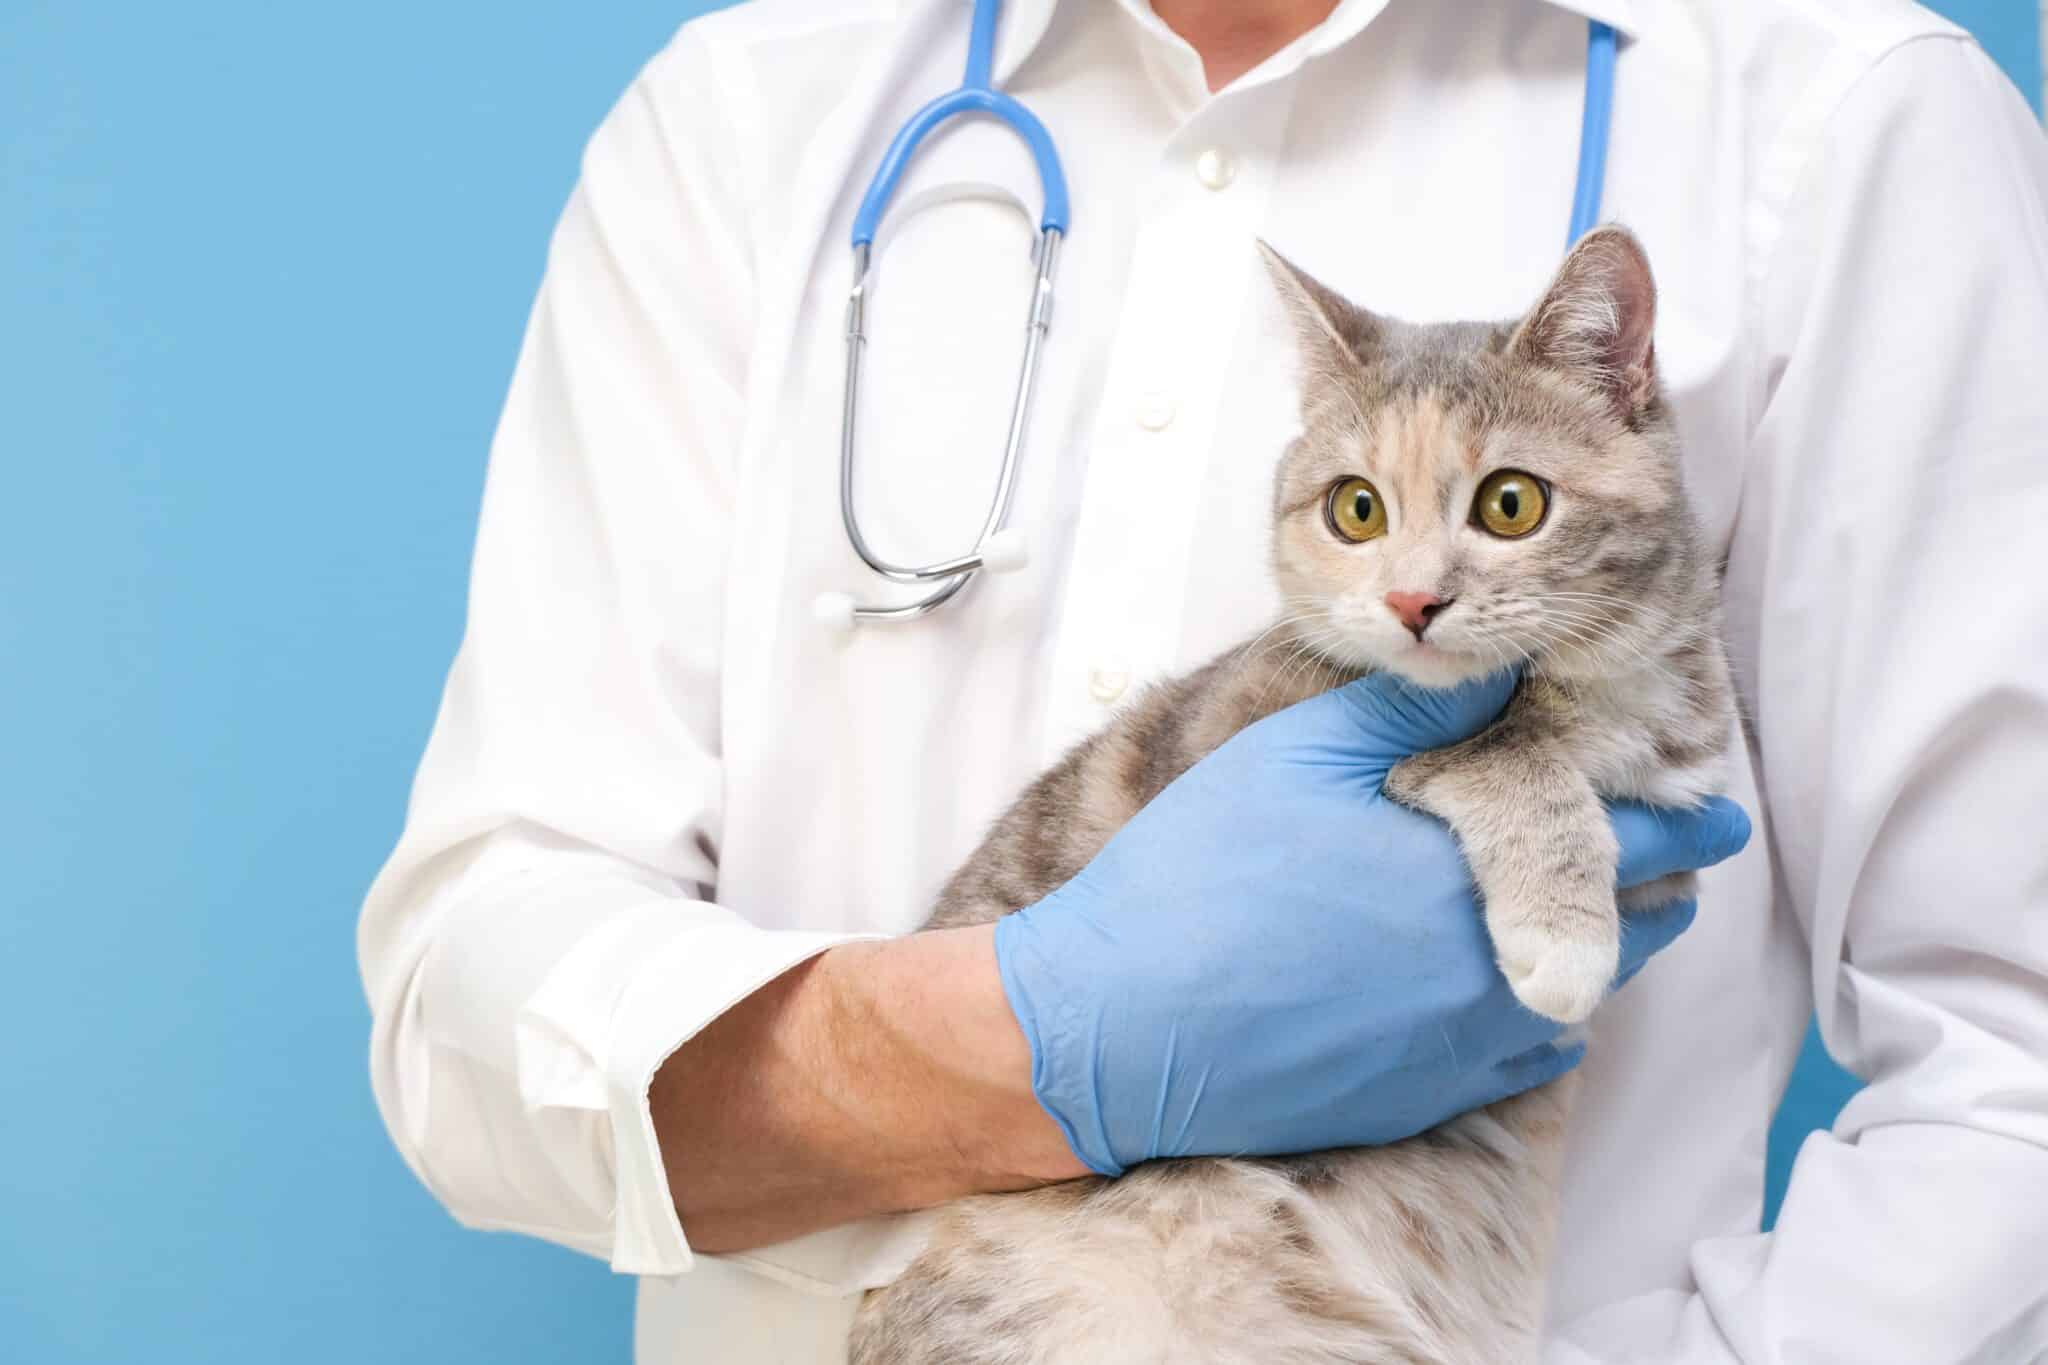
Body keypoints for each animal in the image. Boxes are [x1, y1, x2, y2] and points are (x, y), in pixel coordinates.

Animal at [843, 227, 1728, 1365]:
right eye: (1356, 508)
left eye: (1511, 502)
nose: (1411, 599)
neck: (1599, 688)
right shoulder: (1275, 739)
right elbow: (1499, 755)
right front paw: (1562, 927)